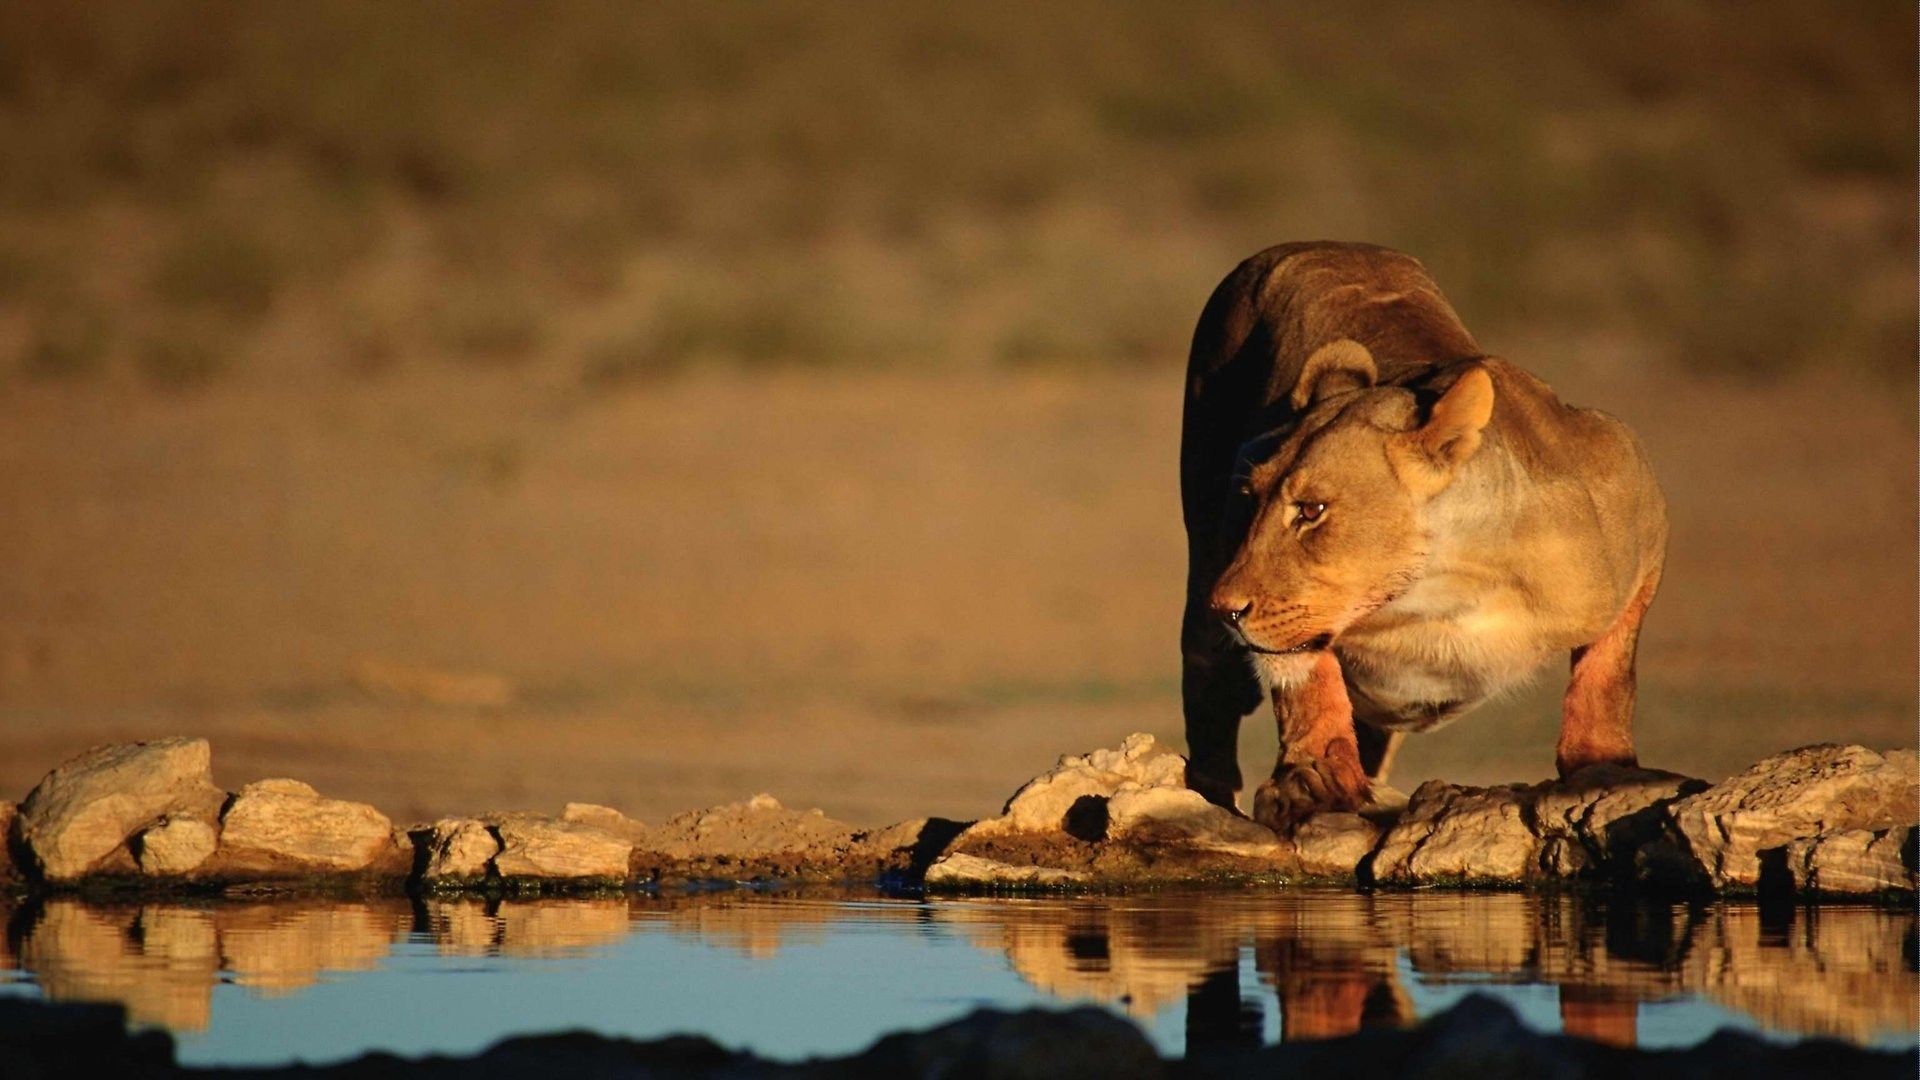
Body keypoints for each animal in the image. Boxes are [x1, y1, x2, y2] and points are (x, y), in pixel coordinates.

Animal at [1180, 241, 1668, 832]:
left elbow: (1610, 669)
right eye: (1252, 499)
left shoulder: (1636, 501)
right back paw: (1210, 796)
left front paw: (1603, 765)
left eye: (1311, 510)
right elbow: (1307, 679)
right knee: (1206, 688)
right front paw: (1312, 780)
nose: (1226, 608)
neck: (1439, 592)